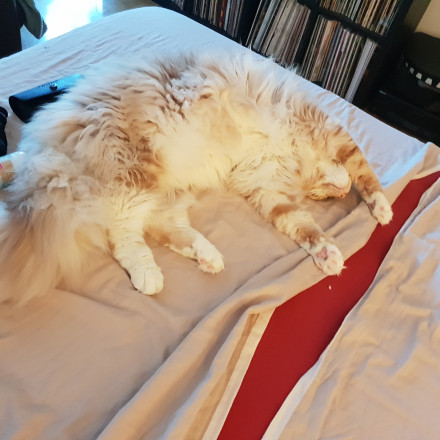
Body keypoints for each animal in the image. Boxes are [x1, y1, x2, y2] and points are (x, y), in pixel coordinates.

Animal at [0, 51, 392, 305]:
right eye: (325, 196)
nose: (338, 195)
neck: (295, 160)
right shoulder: (327, 131)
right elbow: (367, 173)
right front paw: (382, 210)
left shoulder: (266, 189)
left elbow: (303, 227)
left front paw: (327, 256)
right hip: (133, 180)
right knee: (123, 235)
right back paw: (151, 276)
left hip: (169, 192)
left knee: (160, 229)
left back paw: (208, 257)